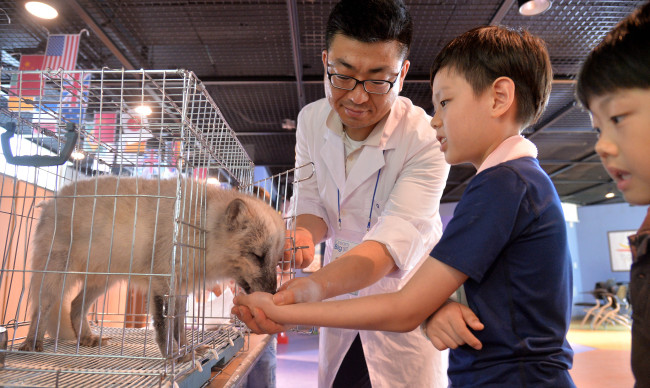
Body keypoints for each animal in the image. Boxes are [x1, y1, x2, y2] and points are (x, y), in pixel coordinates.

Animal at [19, 176, 284, 360]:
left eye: (276, 260)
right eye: (257, 256)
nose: (273, 293)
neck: (197, 229)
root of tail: (51, 201)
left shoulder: (181, 291)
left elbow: (179, 327)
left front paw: (187, 350)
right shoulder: (161, 283)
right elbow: (164, 327)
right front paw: (174, 356)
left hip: (103, 281)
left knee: (75, 306)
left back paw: (86, 337)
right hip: (56, 277)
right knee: (40, 309)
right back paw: (31, 343)